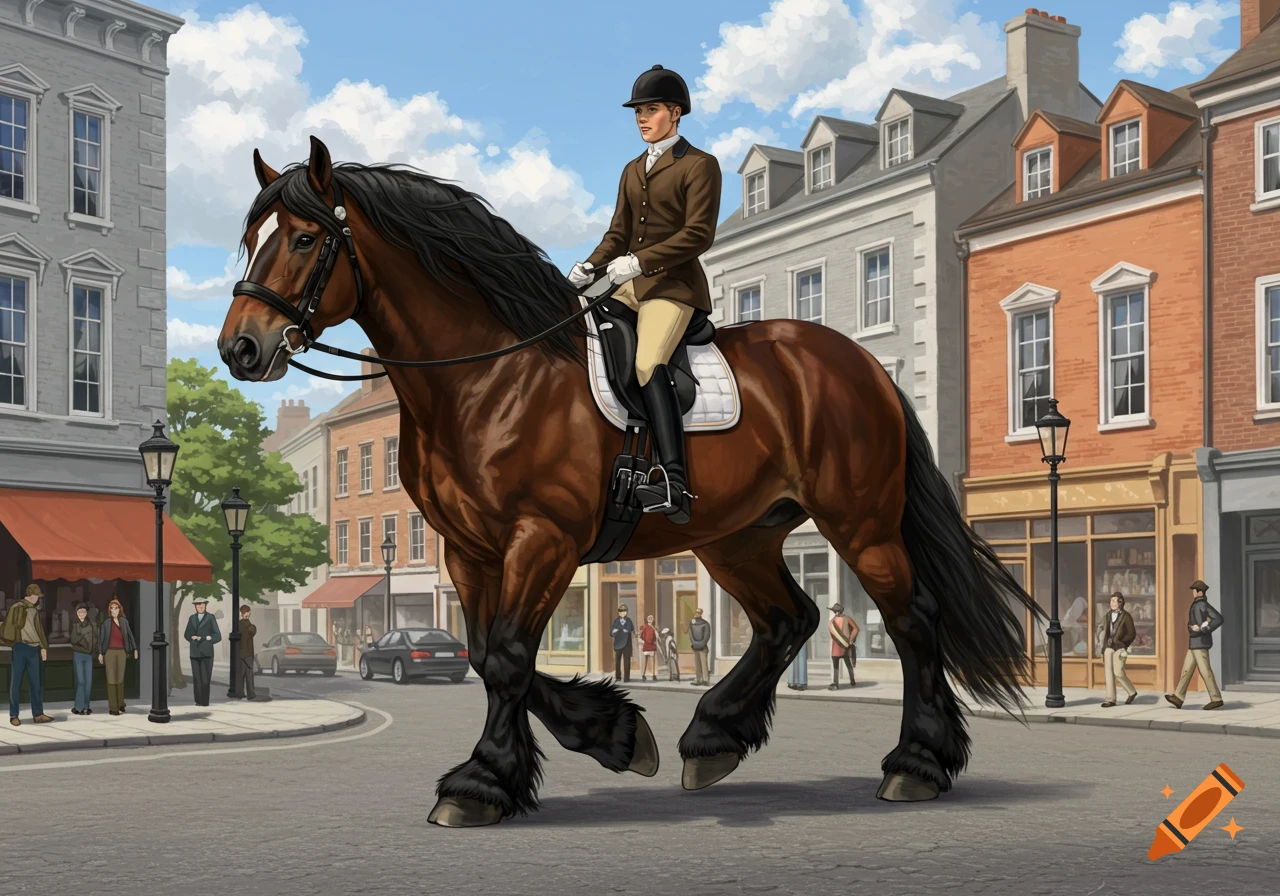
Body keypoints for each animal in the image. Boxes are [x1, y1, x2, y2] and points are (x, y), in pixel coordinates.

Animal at [218, 136, 1039, 827]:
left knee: (912, 619)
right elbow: (486, 654)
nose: (241, 348)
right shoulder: (469, 549)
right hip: (737, 536)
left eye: (303, 238)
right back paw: (713, 738)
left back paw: (917, 764)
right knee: (789, 619)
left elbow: (509, 654)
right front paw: (610, 734)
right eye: (252, 238)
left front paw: (483, 782)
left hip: (858, 522)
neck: (490, 375)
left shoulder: (542, 538)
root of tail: (858, 362)